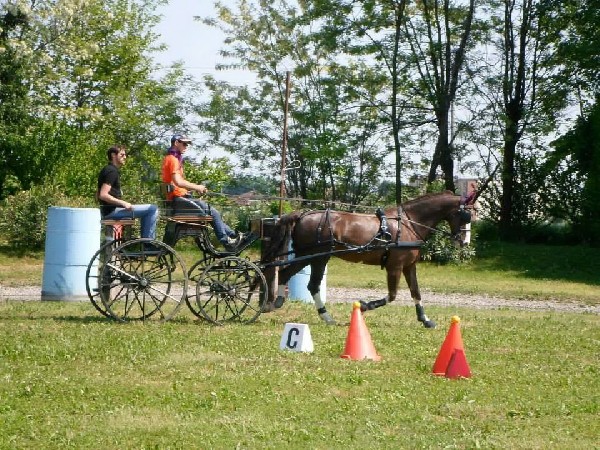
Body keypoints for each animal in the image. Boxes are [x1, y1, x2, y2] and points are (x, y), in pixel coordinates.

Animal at [260, 190, 476, 326]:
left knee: (291, 276)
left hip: (311, 257)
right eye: (466, 216)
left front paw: (425, 320)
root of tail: (303, 215)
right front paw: (364, 306)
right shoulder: (394, 266)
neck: (409, 223)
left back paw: (281, 303)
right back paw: (322, 316)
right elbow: (392, 295)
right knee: (305, 281)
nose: (464, 242)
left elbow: (416, 292)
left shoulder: (409, 266)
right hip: (314, 257)